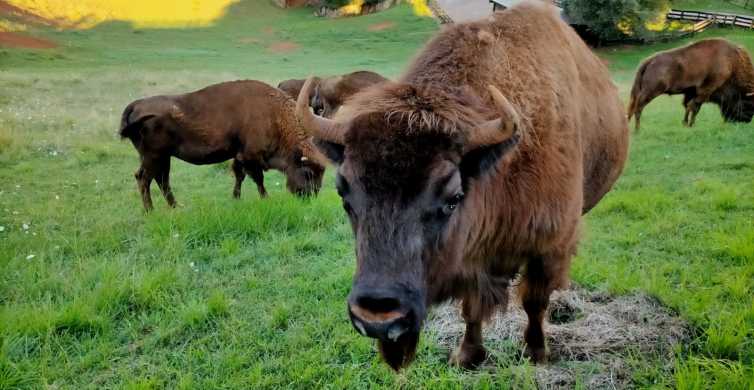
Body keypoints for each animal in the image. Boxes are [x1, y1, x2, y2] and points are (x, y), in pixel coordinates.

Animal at [119, 79, 324, 212]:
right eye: (308, 172)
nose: (310, 196)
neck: (273, 116)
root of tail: (135, 105)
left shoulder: (239, 156)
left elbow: (239, 176)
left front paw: (236, 198)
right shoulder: (250, 156)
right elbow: (258, 179)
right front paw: (266, 198)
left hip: (162, 157)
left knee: (162, 180)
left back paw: (176, 206)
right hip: (153, 157)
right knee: (144, 178)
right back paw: (150, 211)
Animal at [296, 1, 628, 370]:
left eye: (452, 198)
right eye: (345, 196)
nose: (378, 318)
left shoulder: (550, 245)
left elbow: (534, 302)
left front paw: (536, 353)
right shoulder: (472, 258)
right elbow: (472, 307)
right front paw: (467, 356)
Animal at [624, 37, 752, 131]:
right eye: (747, 104)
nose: (747, 121)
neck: (731, 63)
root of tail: (649, 61)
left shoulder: (691, 92)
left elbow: (689, 106)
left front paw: (686, 124)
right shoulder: (705, 90)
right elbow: (693, 107)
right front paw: (690, 125)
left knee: (631, 107)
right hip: (651, 92)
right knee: (638, 108)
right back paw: (637, 130)